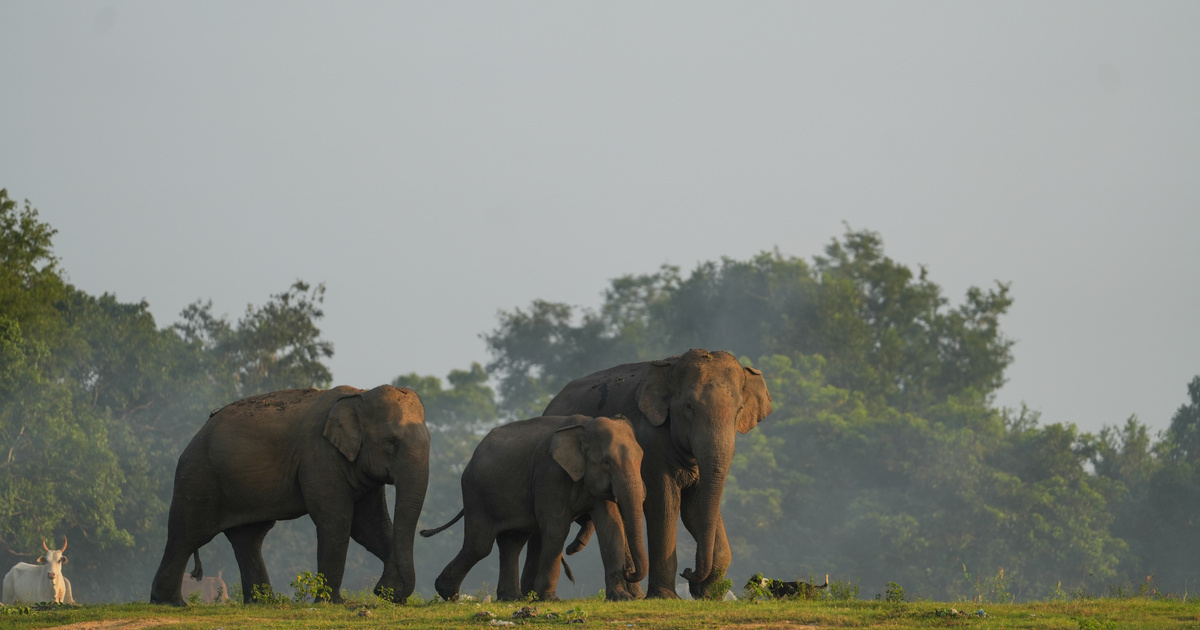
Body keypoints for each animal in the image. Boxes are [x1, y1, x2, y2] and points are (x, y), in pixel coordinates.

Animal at [149, 384, 429, 604]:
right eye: (392, 443)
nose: (385, 592)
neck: (360, 394)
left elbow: (369, 526)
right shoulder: (318, 455)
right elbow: (337, 520)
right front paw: (334, 603)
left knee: (248, 538)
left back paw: (263, 603)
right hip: (198, 477)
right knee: (186, 535)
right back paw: (171, 604)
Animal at [422, 412, 648, 600]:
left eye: (641, 461)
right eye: (607, 462)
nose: (628, 571)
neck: (584, 427)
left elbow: (611, 528)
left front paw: (621, 598)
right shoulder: (549, 474)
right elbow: (556, 529)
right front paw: (549, 599)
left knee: (511, 542)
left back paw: (511, 598)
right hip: (476, 492)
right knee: (479, 545)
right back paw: (448, 594)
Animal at [542, 348, 768, 600]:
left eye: (739, 410)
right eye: (689, 406)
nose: (688, 573)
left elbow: (693, 509)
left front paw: (708, 594)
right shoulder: (650, 443)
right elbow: (664, 504)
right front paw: (666, 597)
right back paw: (634, 594)